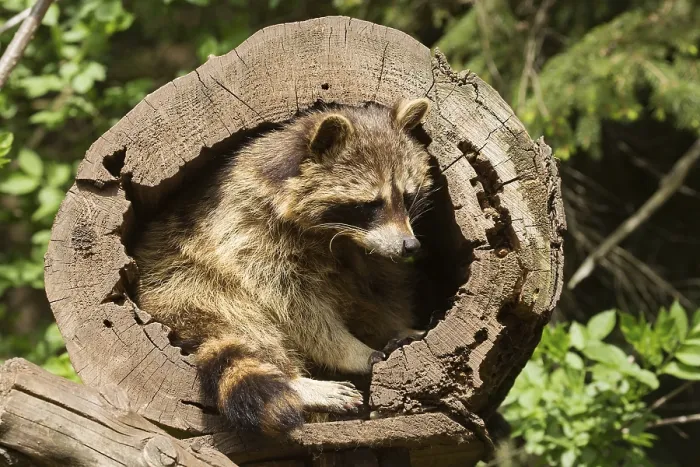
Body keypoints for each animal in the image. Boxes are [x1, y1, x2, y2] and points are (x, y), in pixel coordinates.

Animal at [133, 97, 434, 435]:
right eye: (370, 204)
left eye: (407, 196)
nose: (410, 246)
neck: (338, 237)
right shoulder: (245, 233)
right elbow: (295, 308)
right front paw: (351, 350)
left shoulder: (364, 257)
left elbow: (373, 295)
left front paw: (398, 327)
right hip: (179, 283)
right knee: (244, 318)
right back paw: (299, 384)